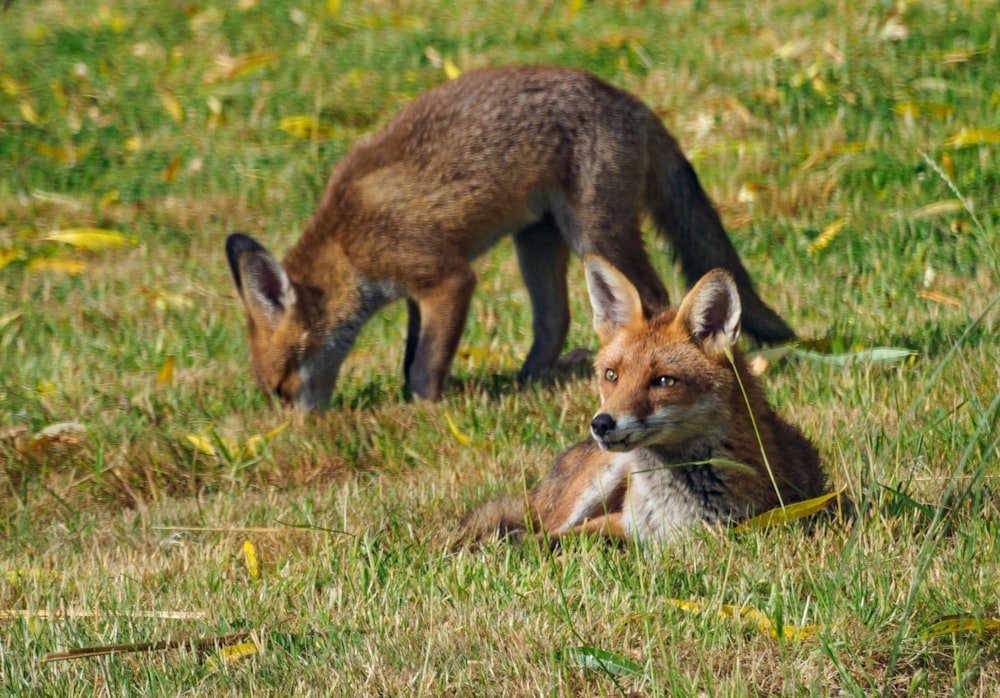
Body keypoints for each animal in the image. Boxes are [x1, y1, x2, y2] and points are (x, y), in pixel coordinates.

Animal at [227, 64, 796, 408]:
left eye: (282, 387)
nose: (302, 432)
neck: (346, 242)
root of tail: (627, 98)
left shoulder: (446, 278)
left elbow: (423, 367)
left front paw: (423, 413)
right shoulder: (416, 294)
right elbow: (411, 355)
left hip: (595, 231)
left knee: (652, 299)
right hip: (536, 241)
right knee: (554, 320)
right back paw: (530, 382)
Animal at [464, 256, 824, 544]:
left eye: (664, 381)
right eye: (611, 375)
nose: (601, 424)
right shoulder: (621, 523)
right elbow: (553, 539)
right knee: (542, 527)